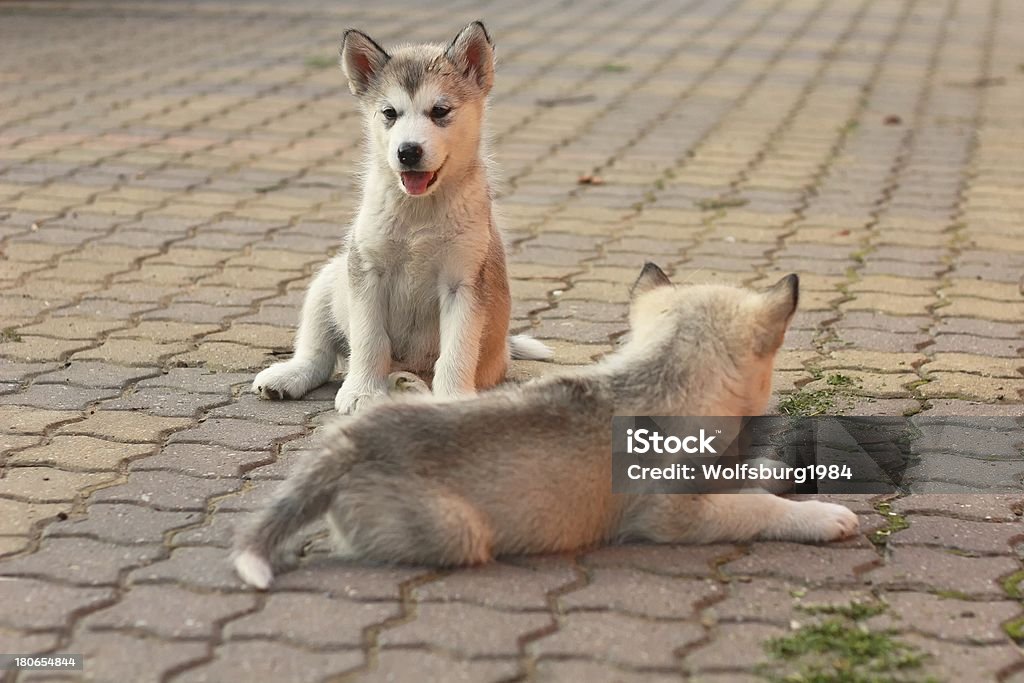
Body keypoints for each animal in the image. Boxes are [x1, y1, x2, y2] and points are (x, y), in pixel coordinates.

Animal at [250, 21, 548, 413]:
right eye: (390, 113)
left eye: (440, 111)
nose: (408, 152)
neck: (419, 212)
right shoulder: (366, 269)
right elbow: (369, 340)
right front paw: (362, 391)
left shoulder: (465, 282)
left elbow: (456, 352)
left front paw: (452, 399)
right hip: (329, 277)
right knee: (319, 353)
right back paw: (292, 376)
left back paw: (408, 386)